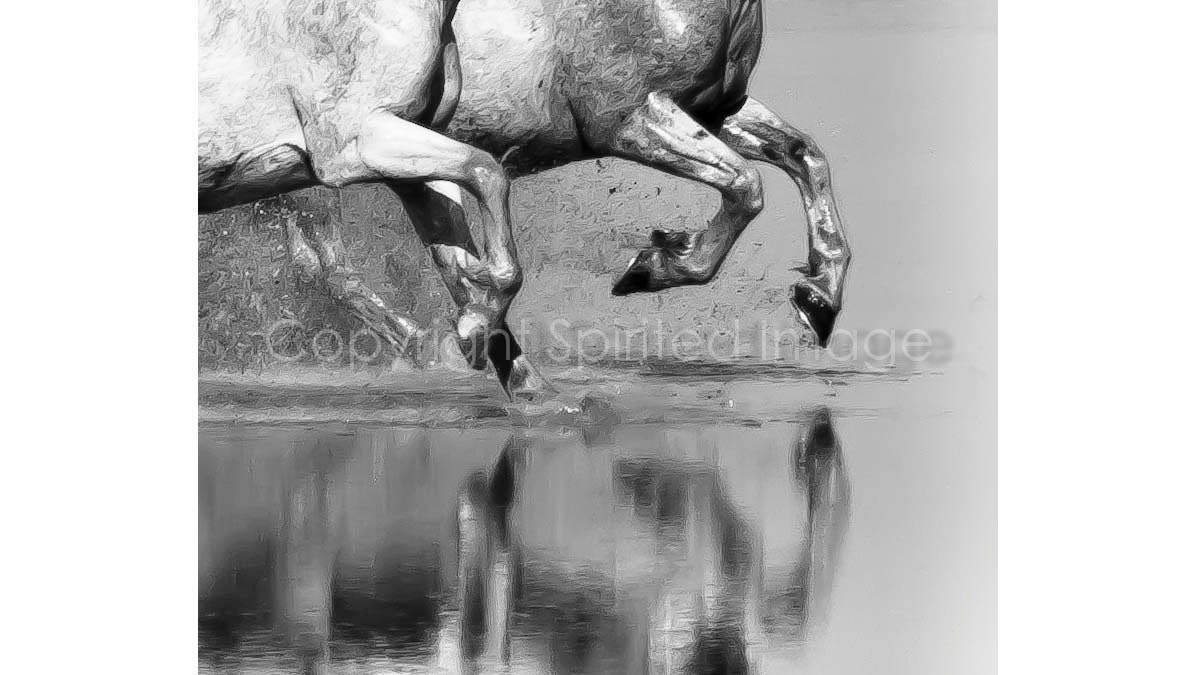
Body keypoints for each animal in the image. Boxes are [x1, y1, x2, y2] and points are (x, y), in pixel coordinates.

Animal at [268, 0, 853, 400]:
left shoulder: (715, 109)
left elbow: (804, 157)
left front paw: (818, 297)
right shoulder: (631, 118)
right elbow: (746, 186)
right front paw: (655, 266)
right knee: (326, 266)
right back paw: (440, 345)